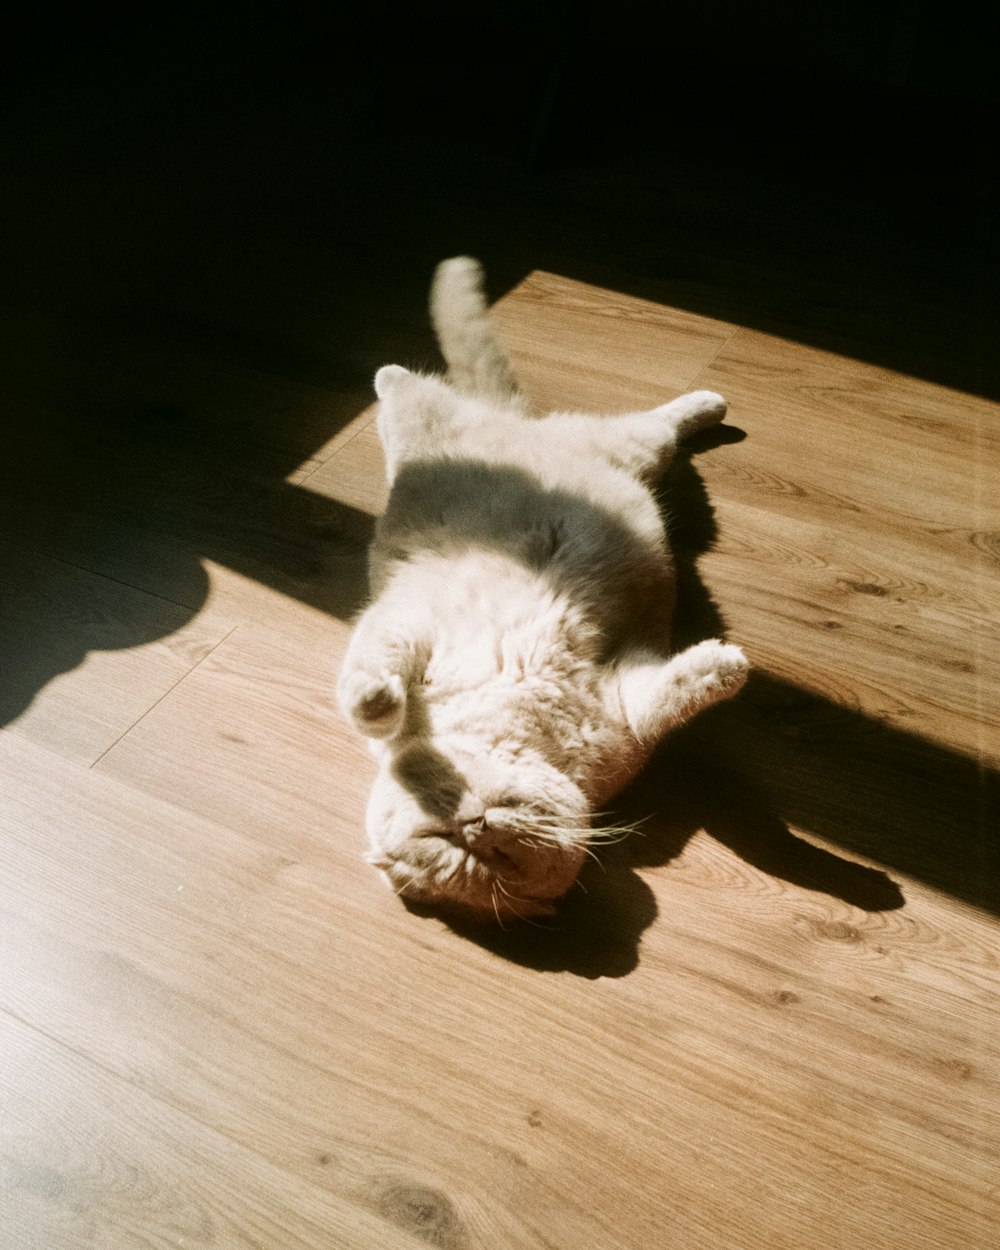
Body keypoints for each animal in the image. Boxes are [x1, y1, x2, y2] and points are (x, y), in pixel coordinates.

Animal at [337, 256, 750, 920]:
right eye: (456, 847)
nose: (476, 825)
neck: (515, 718)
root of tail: (513, 424)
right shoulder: (628, 699)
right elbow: (675, 692)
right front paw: (726, 663)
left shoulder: (406, 621)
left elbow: (365, 676)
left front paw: (379, 705)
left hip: (540, 439)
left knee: (403, 382)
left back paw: (711, 403)